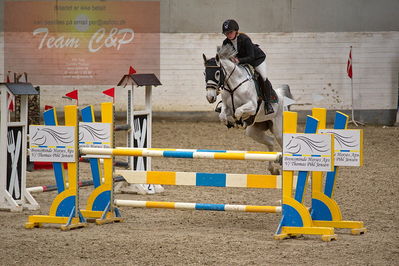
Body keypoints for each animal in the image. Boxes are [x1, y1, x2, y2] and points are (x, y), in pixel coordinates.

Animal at [205, 45, 296, 175]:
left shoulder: (252, 106)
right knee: (270, 141)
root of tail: (281, 96)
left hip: (278, 129)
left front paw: (239, 122)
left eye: (217, 73)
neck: (233, 86)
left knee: (281, 142)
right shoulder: (226, 107)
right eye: (204, 73)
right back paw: (273, 169)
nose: (210, 97)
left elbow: (238, 112)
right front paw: (230, 123)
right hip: (254, 131)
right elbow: (222, 116)